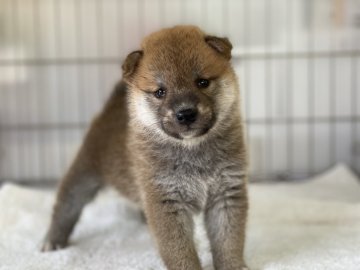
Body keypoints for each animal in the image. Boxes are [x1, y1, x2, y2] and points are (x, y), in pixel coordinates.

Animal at [42, 25, 249, 270]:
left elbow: (228, 242)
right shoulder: (165, 202)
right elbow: (180, 251)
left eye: (202, 82)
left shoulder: (226, 194)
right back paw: (53, 240)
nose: (186, 113)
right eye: (160, 92)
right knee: (66, 205)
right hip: (84, 173)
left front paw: (233, 265)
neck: (192, 150)